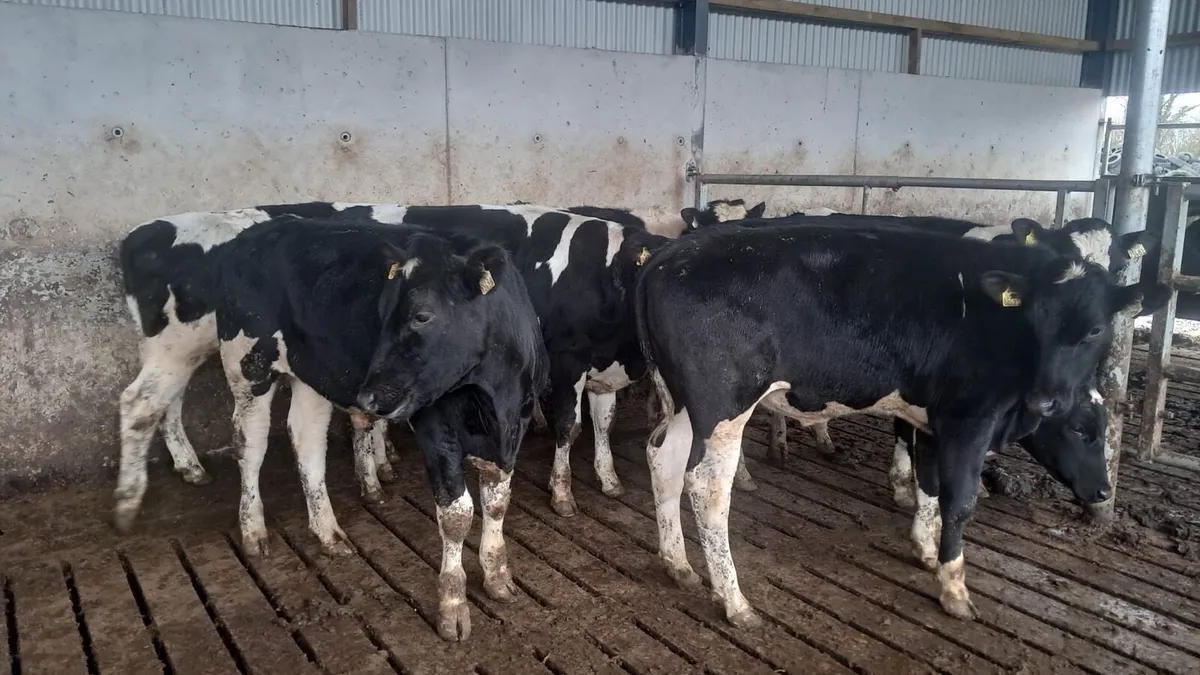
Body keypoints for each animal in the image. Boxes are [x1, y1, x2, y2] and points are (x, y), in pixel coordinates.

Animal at [220, 218, 544, 642]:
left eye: (422, 316)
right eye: (383, 311)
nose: (368, 396)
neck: (488, 395)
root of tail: (254, 232)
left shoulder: (513, 425)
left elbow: (497, 500)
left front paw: (497, 575)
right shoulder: (435, 424)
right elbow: (457, 514)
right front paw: (453, 605)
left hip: (311, 372)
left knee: (307, 439)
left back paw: (328, 532)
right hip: (247, 363)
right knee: (250, 444)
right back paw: (254, 530)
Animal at [635, 221, 1167, 627]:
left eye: (1095, 328)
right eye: (1081, 429)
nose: (1102, 491)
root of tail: (669, 253)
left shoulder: (931, 419)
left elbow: (929, 485)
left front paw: (926, 550)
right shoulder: (969, 419)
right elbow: (960, 502)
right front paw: (954, 589)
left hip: (685, 406)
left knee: (661, 459)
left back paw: (677, 564)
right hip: (724, 405)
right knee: (706, 488)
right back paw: (734, 600)